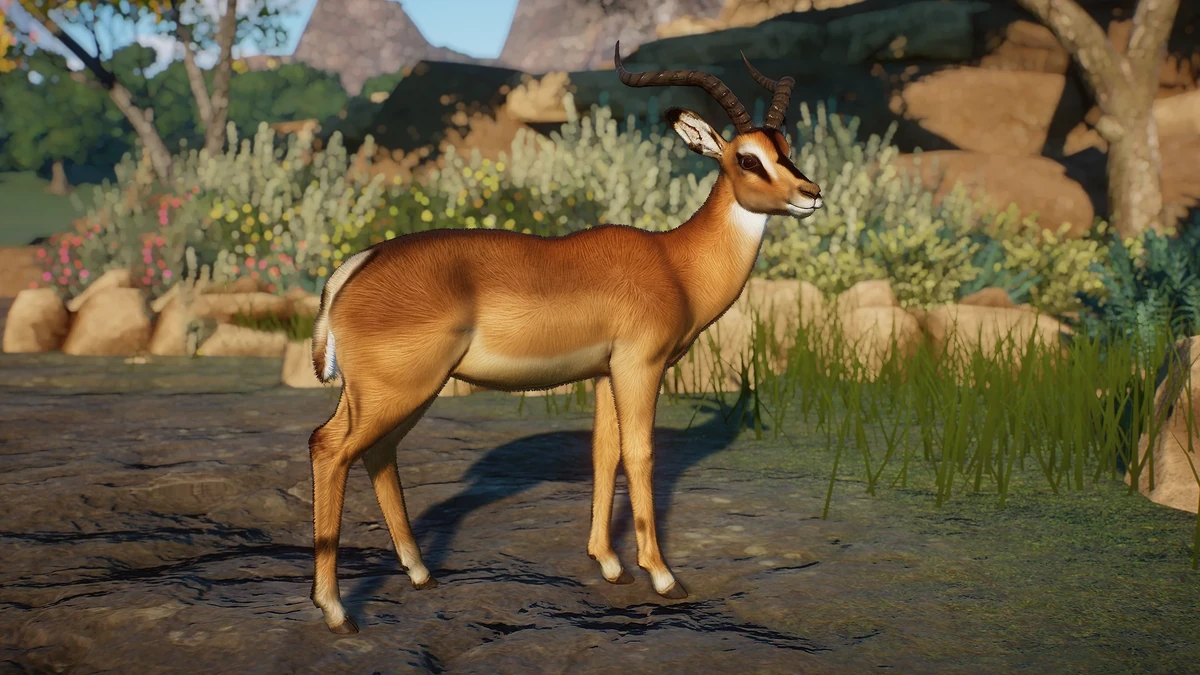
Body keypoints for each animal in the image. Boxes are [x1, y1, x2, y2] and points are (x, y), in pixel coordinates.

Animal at [305, 42, 822, 634]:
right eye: (747, 158)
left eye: (787, 149)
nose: (811, 194)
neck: (675, 264)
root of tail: (355, 266)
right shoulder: (640, 366)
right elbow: (640, 453)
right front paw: (663, 577)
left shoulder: (603, 374)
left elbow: (602, 454)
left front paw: (609, 564)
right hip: (396, 390)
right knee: (328, 448)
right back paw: (338, 612)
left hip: (399, 393)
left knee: (378, 453)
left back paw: (420, 574)